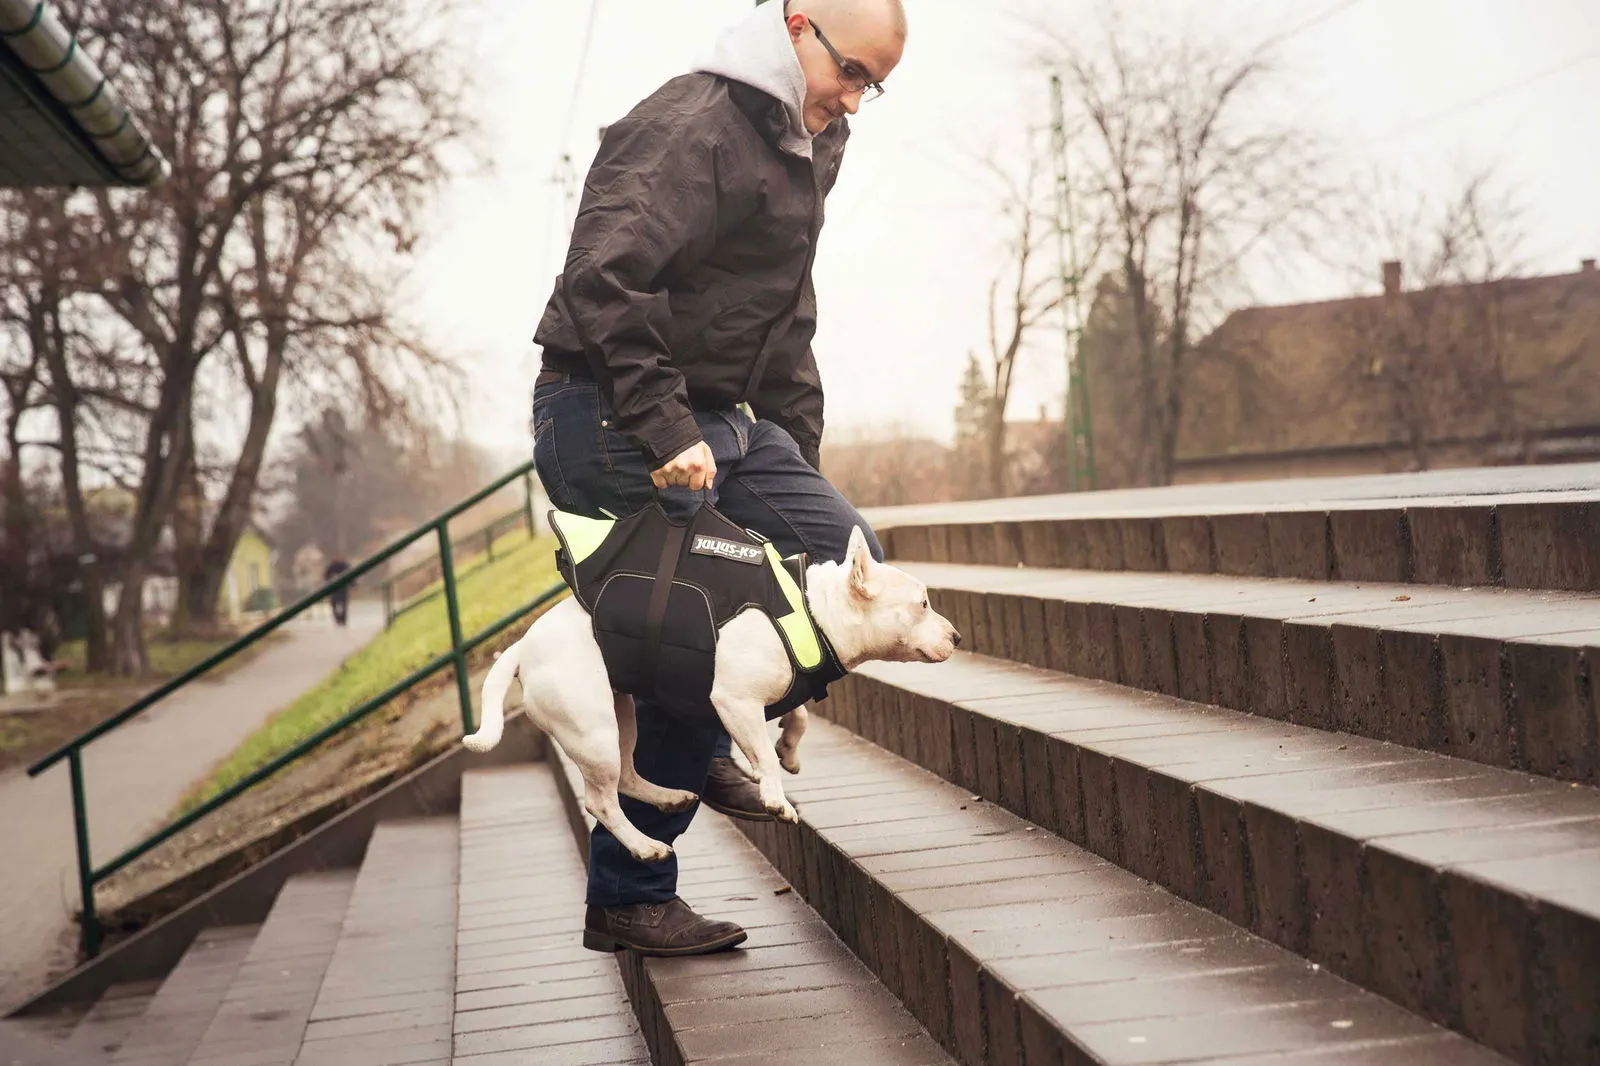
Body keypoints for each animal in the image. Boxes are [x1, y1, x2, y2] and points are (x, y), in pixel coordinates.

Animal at [464, 524, 960, 864]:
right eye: (922, 604)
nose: (956, 637)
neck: (812, 610)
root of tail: (522, 647)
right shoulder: (734, 701)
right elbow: (762, 754)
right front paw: (775, 796)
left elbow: (795, 718)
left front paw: (788, 749)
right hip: (592, 729)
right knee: (602, 800)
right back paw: (645, 847)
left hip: (620, 715)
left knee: (626, 775)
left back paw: (667, 798)